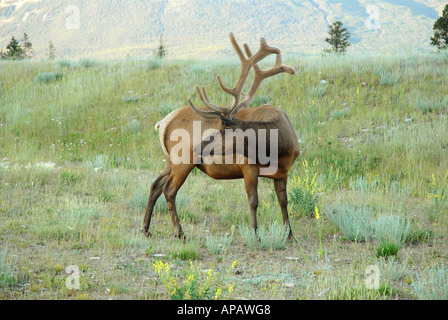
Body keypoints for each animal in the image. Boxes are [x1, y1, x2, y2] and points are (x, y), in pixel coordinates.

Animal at [142, 32, 300, 241]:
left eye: (221, 131)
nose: (197, 148)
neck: (279, 149)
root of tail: (162, 122)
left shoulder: (284, 171)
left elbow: (283, 200)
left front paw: (289, 234)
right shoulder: (248, 165)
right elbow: (253, 201)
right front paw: (255, 234)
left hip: (170, 161)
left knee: (155, 185)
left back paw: (145, 228)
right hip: (182, 161)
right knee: (169, 190)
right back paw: (179, 232)